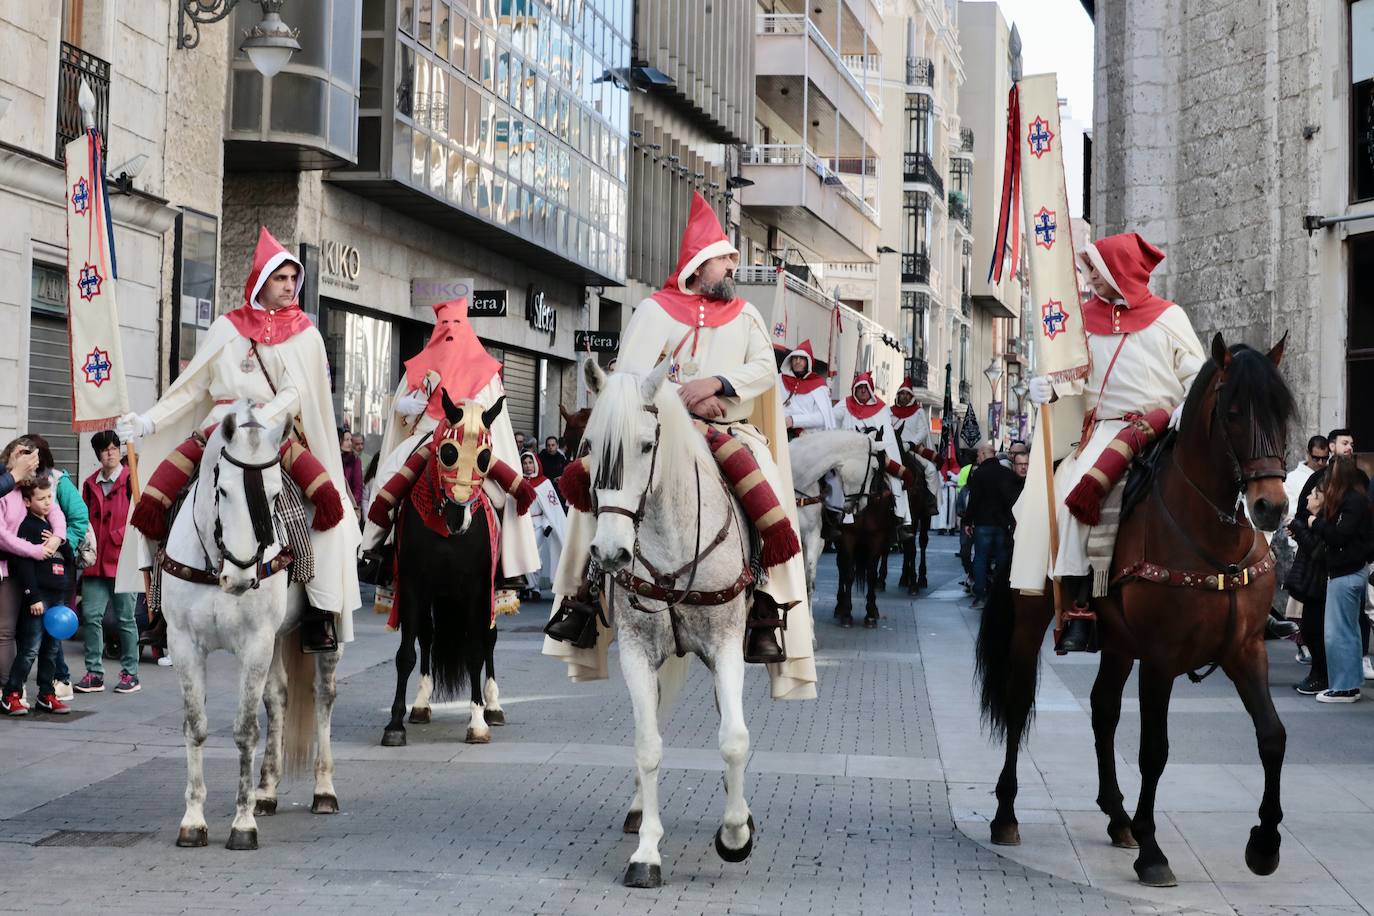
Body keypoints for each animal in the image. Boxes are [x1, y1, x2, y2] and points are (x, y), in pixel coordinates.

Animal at [159, 403, 343, 851]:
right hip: (275, 640)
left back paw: (323, 790)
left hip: (322, 632)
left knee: (322, 697)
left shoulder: (255, 642)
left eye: (276, 495)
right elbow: (196, 726)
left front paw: (242, 825)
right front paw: (193, 820)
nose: (242, 577)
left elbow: (245, 730)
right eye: (223, 490)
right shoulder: (185, 644)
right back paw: (267, 791)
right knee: (278, 698)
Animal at [577, 357, 752, 889]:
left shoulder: (726, 647)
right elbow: (647, 745)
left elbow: (734, 739)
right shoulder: (636, 653)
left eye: (646, 445)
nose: (611, 553)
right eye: (589, 445)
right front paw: (646, 852)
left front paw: (735, 834)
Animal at [978, 335, 1286, 889]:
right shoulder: (1161, 659)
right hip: (1031, 621)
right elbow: (1154, 750)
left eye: (1282, 410)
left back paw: (1118, 817)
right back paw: (1007, 815)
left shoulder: (1246, 650)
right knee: (1017, 704)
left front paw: (1265, 844)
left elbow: (1272, 736)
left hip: (1119, 644)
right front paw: (1153, 852)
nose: (1272, 507)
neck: (1214, 539)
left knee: (1102, 709)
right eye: (1233, 413)